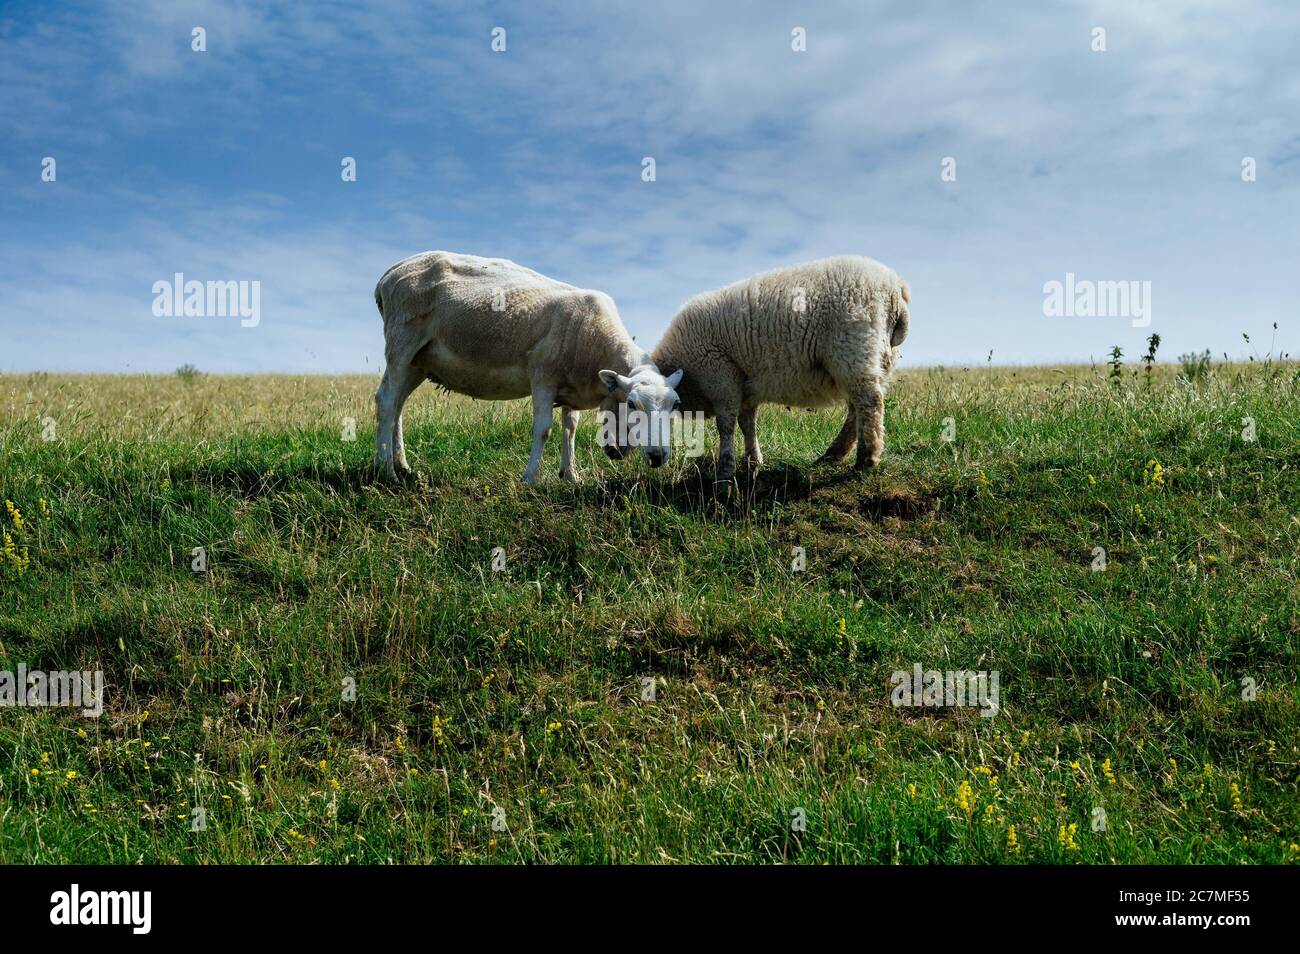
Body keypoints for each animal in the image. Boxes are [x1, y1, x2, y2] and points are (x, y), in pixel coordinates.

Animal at [373, 251, 682, 484]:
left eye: (675, 406)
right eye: (631, 403)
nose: (659, 456)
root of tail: (390, 273)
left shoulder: (572, 386)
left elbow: (570, 428)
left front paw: (571, 476)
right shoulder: (543, 376)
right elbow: (543, 429)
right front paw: (530, 478)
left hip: (419, 361)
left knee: (398, 405)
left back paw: (402, 465)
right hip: (402, 342)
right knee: (386, 401)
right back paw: (385, 471)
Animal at [650, 256, 909, 482]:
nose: (654, 458)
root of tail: (897, 289)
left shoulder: (721, 376)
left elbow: (726, 425)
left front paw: (725, 470)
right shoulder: (745, 387)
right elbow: (747, 424)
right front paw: (753, 462)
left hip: (855, 348)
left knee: (870, 403)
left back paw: (866, 459)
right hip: (877, 359)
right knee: (858, 408)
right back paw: (832, 456)